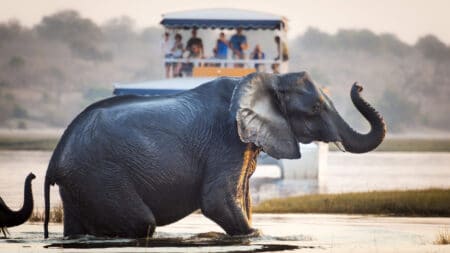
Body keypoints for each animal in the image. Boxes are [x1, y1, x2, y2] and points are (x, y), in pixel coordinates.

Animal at [44, 71, 384, 239]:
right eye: (314, 108)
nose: (359, 85)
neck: (265, 80)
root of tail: (55, 160)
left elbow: (242, 199)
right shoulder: (225, 140)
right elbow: (217, 199)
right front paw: (256, 234)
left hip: (81, 184)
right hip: (101, 175)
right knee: (142, 223)